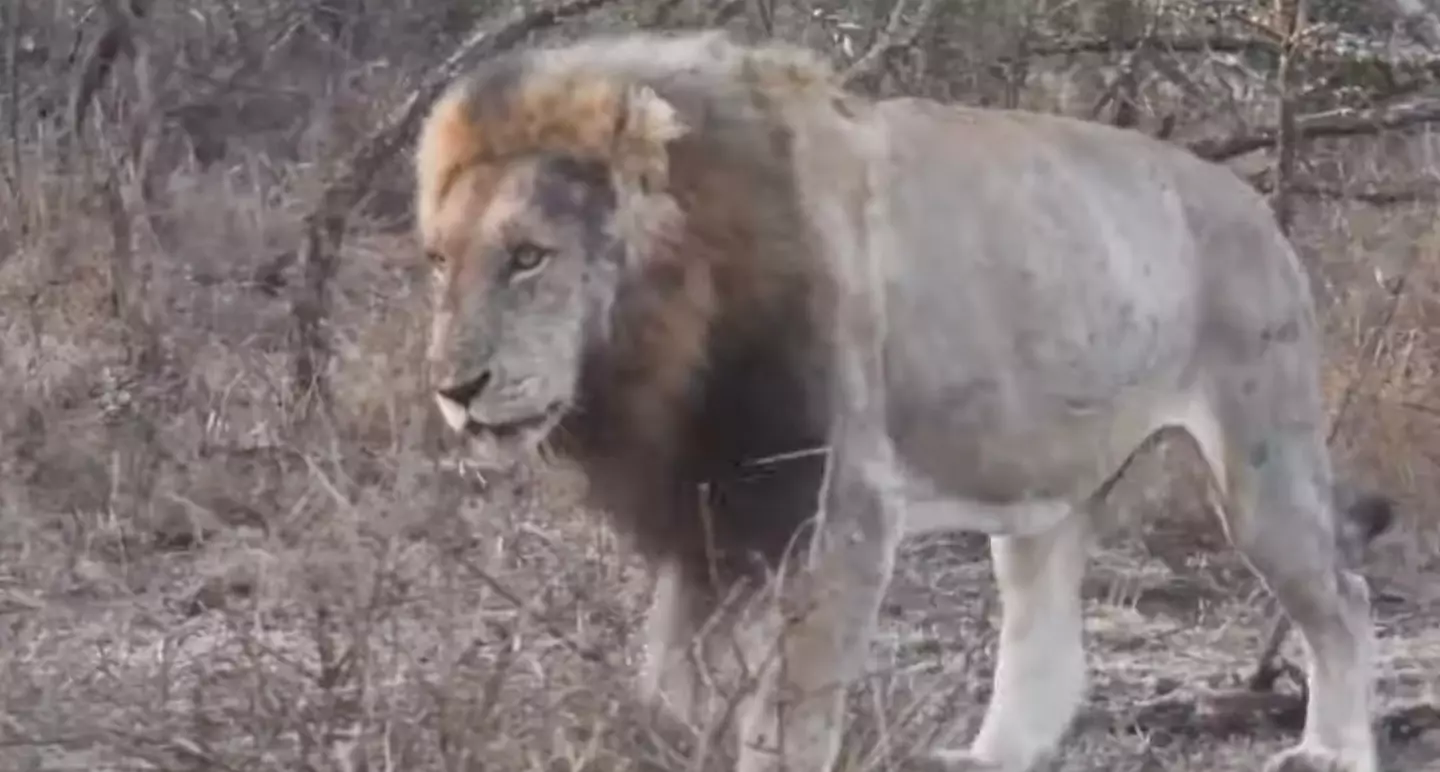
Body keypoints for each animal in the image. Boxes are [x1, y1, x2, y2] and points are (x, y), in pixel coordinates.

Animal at [413, 30, 1390, 772]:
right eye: (438, 261)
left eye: (529, 256)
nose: (455, 391)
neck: (669, 345)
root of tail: (1255, 205)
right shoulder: (710, 513)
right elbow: (674, 692)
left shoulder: (839, 515)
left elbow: (789, 719)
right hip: (1043, 492)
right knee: (1047, 645)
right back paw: (984, 760)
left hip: (1262, 463)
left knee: (1344, 597)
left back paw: (1332, 752)